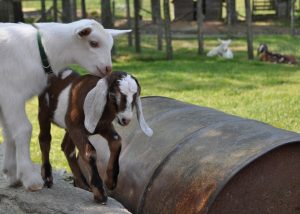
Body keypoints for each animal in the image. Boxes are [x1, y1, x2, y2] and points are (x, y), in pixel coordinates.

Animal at [0, 19, 131, 191]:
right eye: (93, 43)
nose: (108, 69)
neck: (40, 49)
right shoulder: (11, 94)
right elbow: (23, 129)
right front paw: (30, 178)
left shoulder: (5, 98)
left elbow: (8, 131)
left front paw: (11, 173)